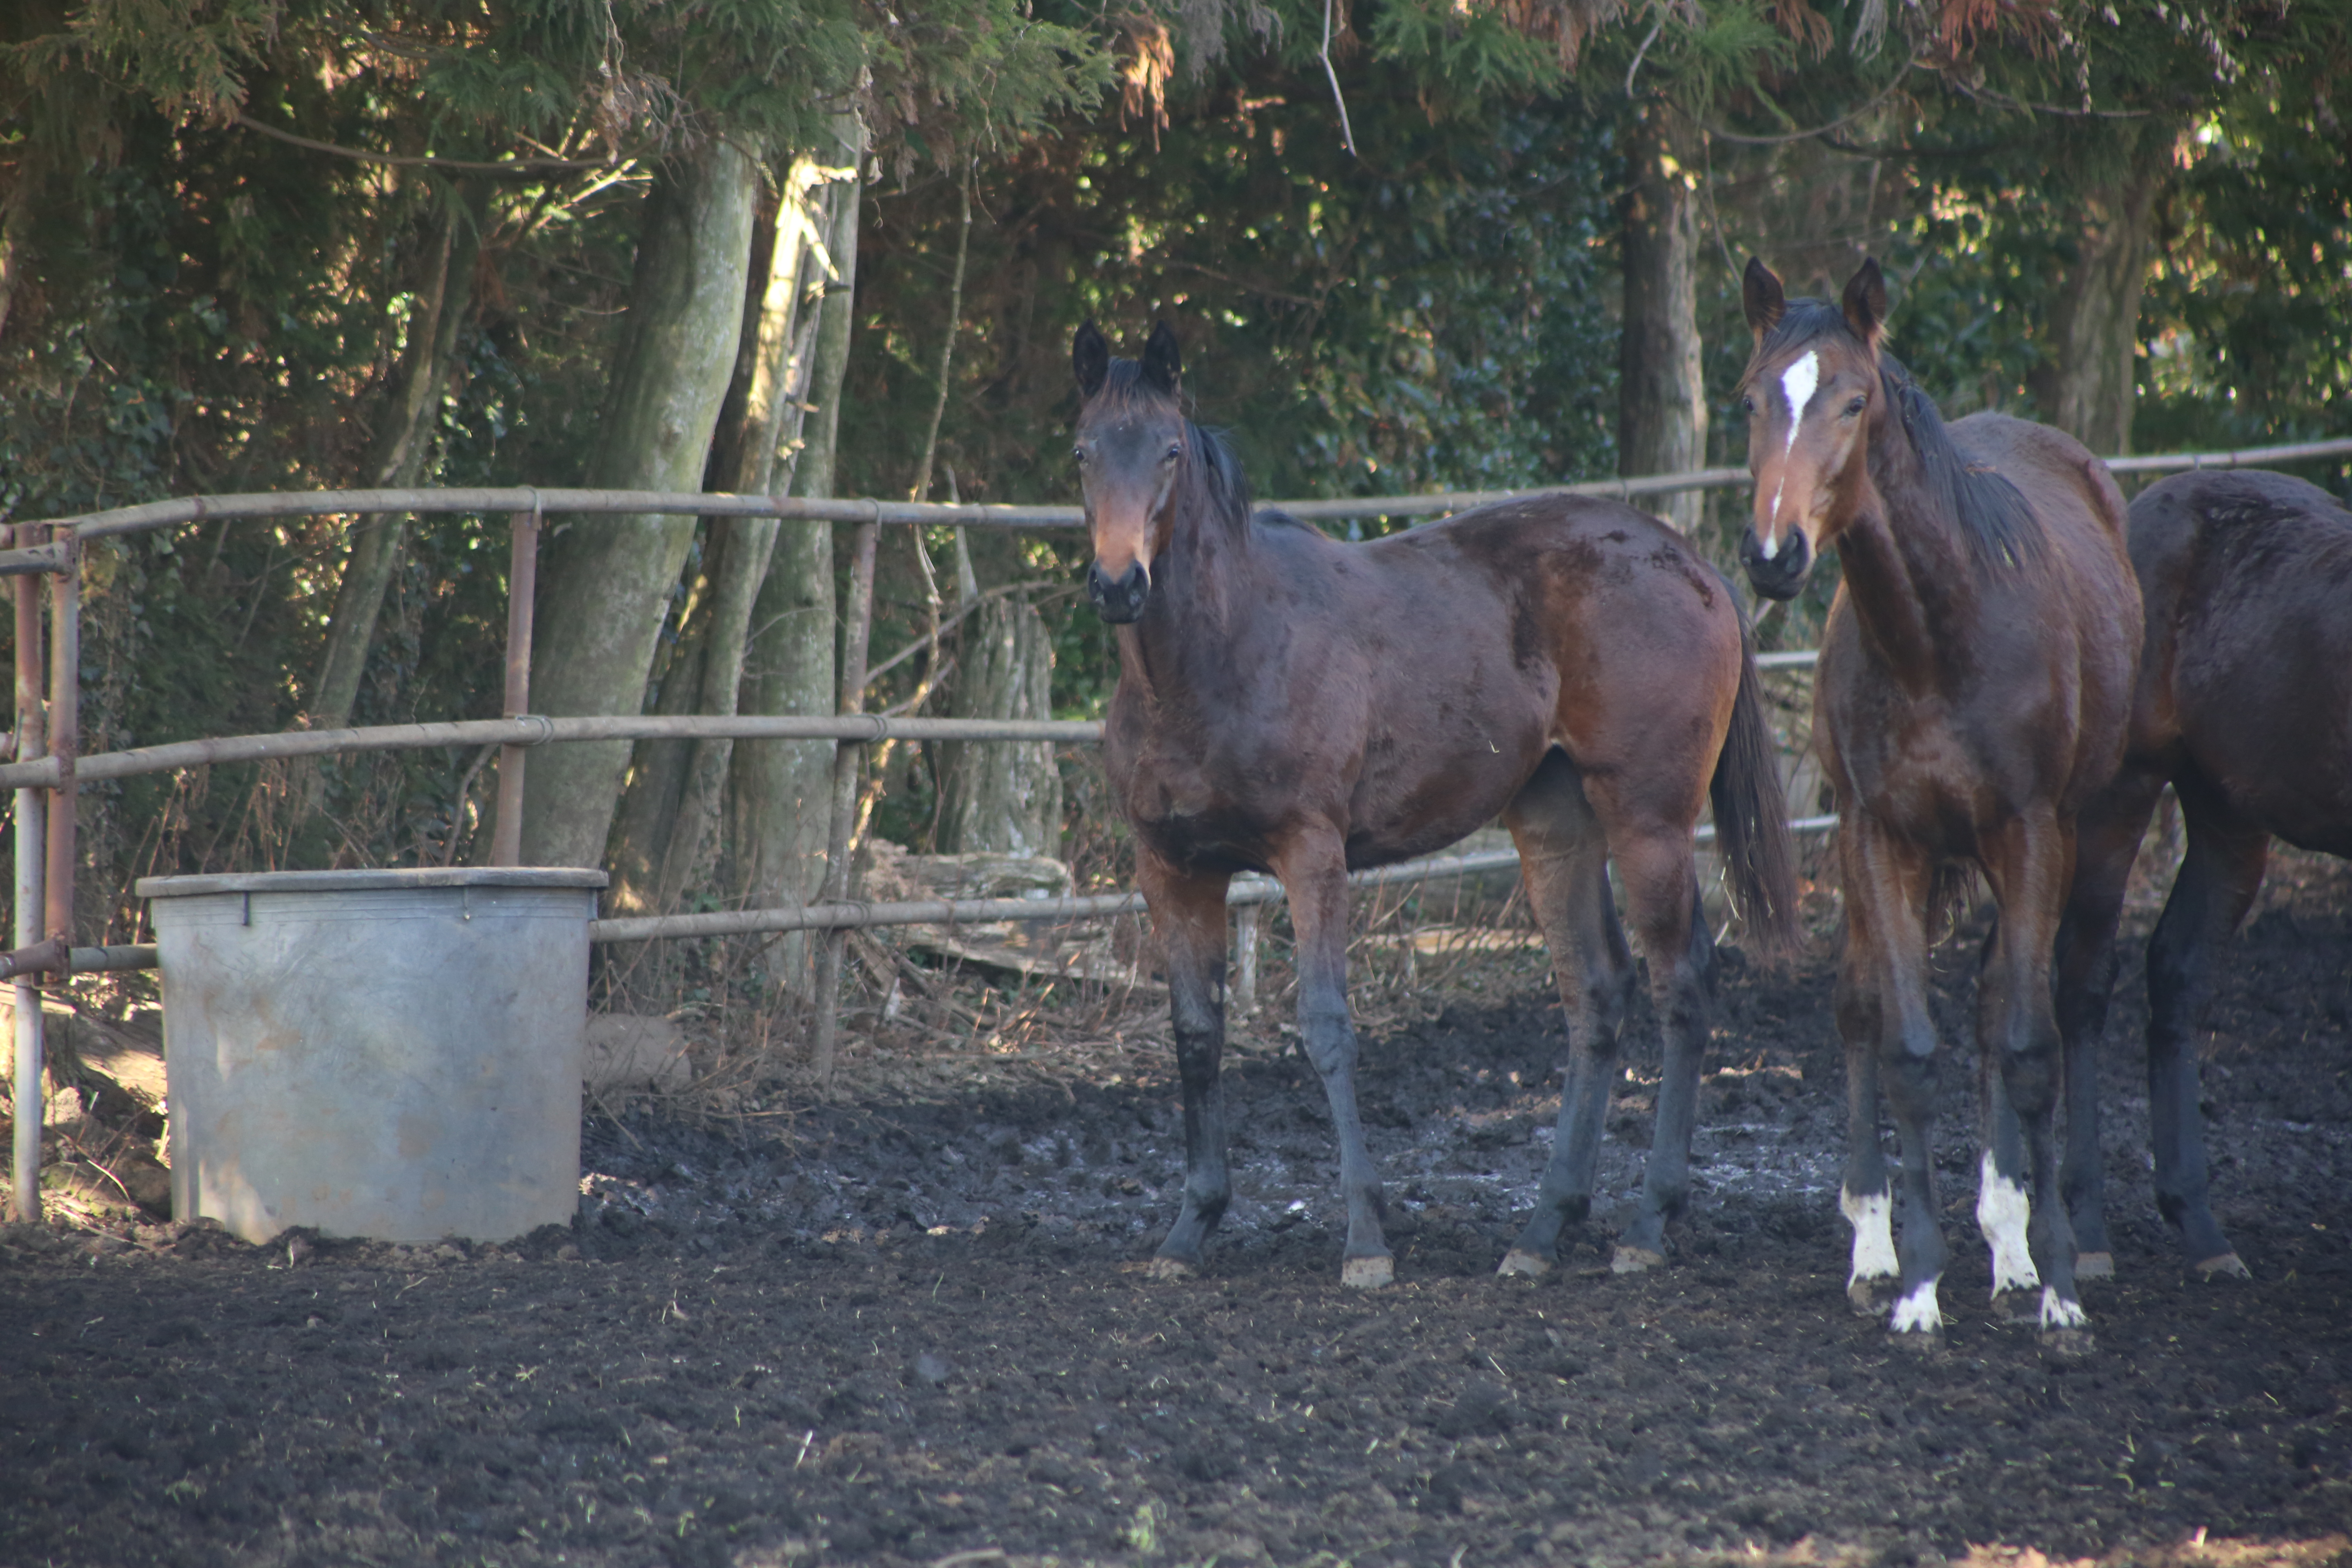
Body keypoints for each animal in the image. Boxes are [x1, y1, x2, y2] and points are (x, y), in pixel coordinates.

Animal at [1072, 319, 1797, 1288]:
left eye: (1170, 452)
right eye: (1082, 452)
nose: (1120, 585)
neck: (1221, 654)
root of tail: (1694, 566)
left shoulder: (1312, 855)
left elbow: (1326, 1026)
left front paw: (1366, 1242)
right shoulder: (1173, 870)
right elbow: (1196, 1034)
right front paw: (1190, 1230)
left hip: (1650, 824)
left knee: (1682, 983)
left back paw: (1646, 1225)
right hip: (1556, 828)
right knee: (1595, 991)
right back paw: (1543, 1230)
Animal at [1731, 261, 2154, 1354]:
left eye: (1851, 401)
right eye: (1751, 401)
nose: (1773, 554)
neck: (1938, 636)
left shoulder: (2031, 832)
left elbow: (2027, 1046)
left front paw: (2056, 1283)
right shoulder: (1881, 836)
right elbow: (1907, 1050)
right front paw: (1915, 1282)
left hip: (2073, 837)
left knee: (2004, 1008)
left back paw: (2011, 1243)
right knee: (1862, 1007)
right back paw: (1877, 1242)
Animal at [2051, 472, 2352, 1278]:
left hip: (2229, 817)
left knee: (2176, 972)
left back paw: (2199, 1225)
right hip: (2119, 795)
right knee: (2083, 984)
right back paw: (2085, 1228)